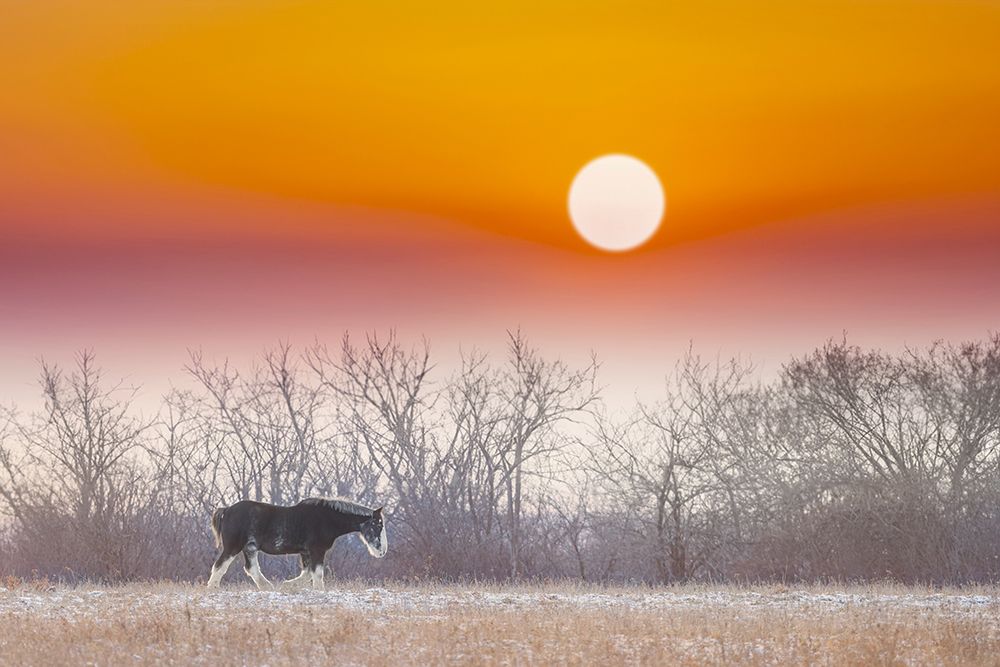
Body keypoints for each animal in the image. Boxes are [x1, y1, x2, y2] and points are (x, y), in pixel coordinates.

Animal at [206, 496, 386, 588]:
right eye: (377, 524)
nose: (382, 551)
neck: (327, 518)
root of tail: (227, 510)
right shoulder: (316, 551)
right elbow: (317, 574)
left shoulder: (306, 553)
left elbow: (307, 574)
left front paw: (288, 585)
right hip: (233, 547)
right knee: (220, 566)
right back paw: (212, 589)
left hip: (249, 548)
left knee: (251, 569)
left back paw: (267, 587)